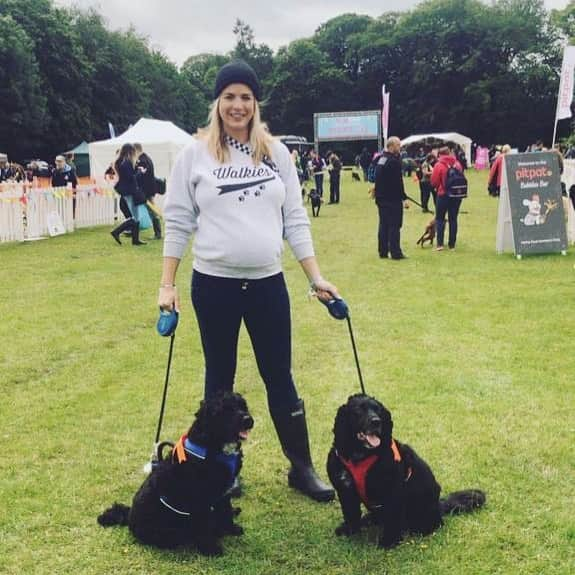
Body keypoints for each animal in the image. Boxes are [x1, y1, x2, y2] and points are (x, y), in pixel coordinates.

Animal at [98, 394, 254, 556]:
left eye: (243, 406)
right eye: (225, 410)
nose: (248, 420)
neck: (212, 445)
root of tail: (129, 518)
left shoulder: (223, 494)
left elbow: (225, 512)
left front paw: (232, 529)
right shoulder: (200, 499)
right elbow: (204, 526)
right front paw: (211, 548)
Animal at [328, 396, 486, 548]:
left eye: (378, 410)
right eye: (358, 410)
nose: (376, 422)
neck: (360, 456)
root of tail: (439, 505)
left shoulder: (392, 493)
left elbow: (392, 520)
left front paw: (388, 542)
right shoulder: (346, 490)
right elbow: (351, 513)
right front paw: (350, 530)